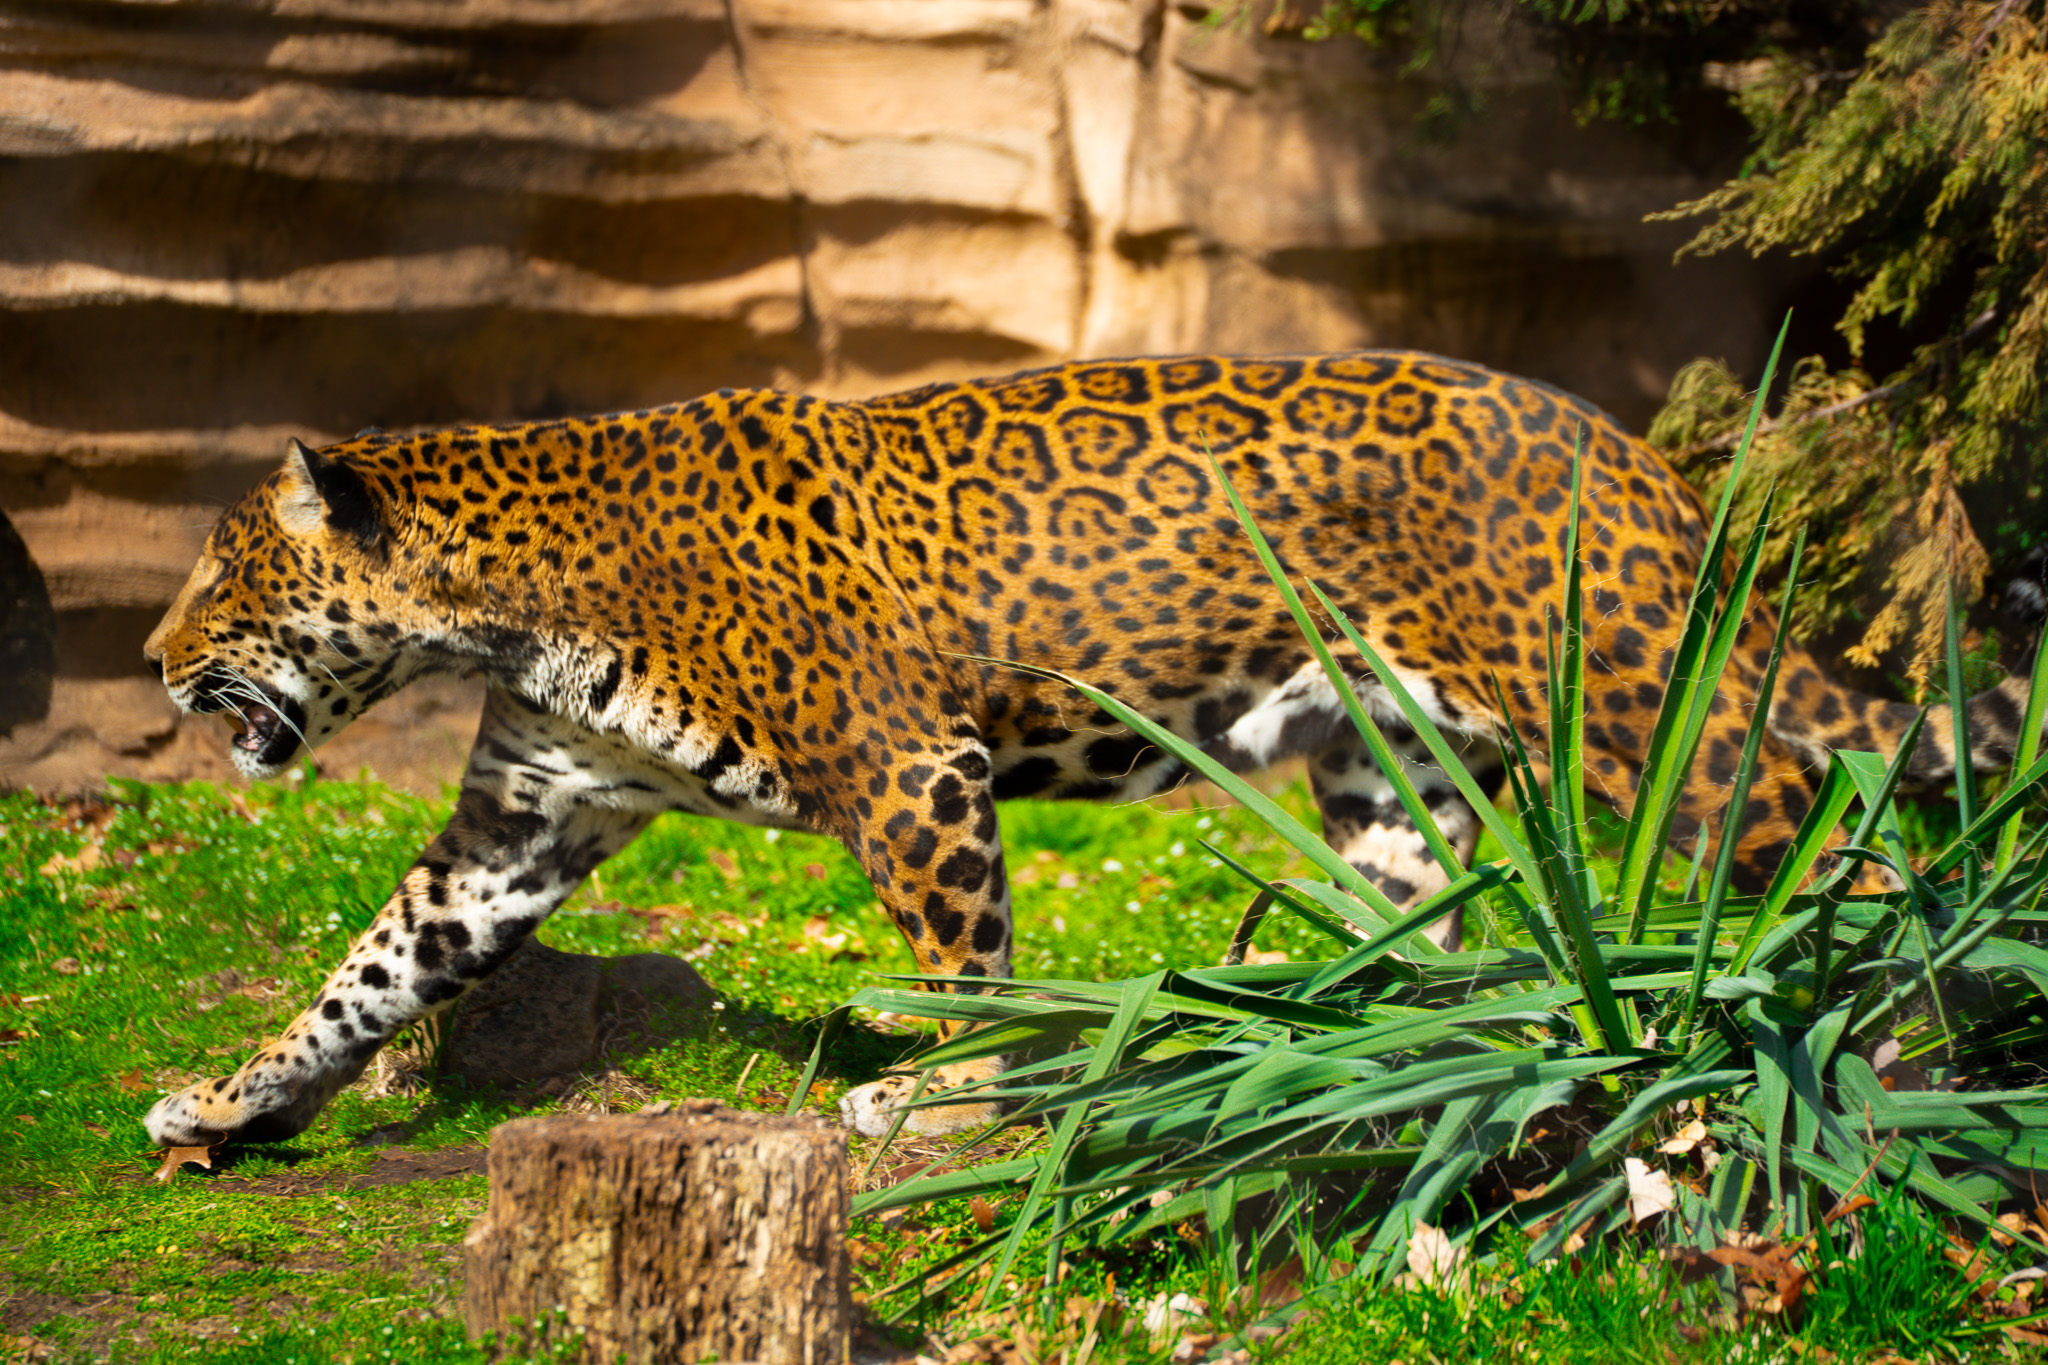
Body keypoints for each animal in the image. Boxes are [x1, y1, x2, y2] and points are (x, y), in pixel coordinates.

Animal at [141, 350, 2040, 1148]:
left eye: (222, 576)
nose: (153, 670)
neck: (503, 593)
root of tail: (1620, 442)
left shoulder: (913, 771)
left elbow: (963, 970)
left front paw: (941, 1100)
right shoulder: (516, 824)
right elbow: (370, 970)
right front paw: (231, 1099)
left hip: (1654, 705)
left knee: (1821, 818)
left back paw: (1875, 1039)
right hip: (1390, 770)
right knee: (1435, 919)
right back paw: (1366, 1049)